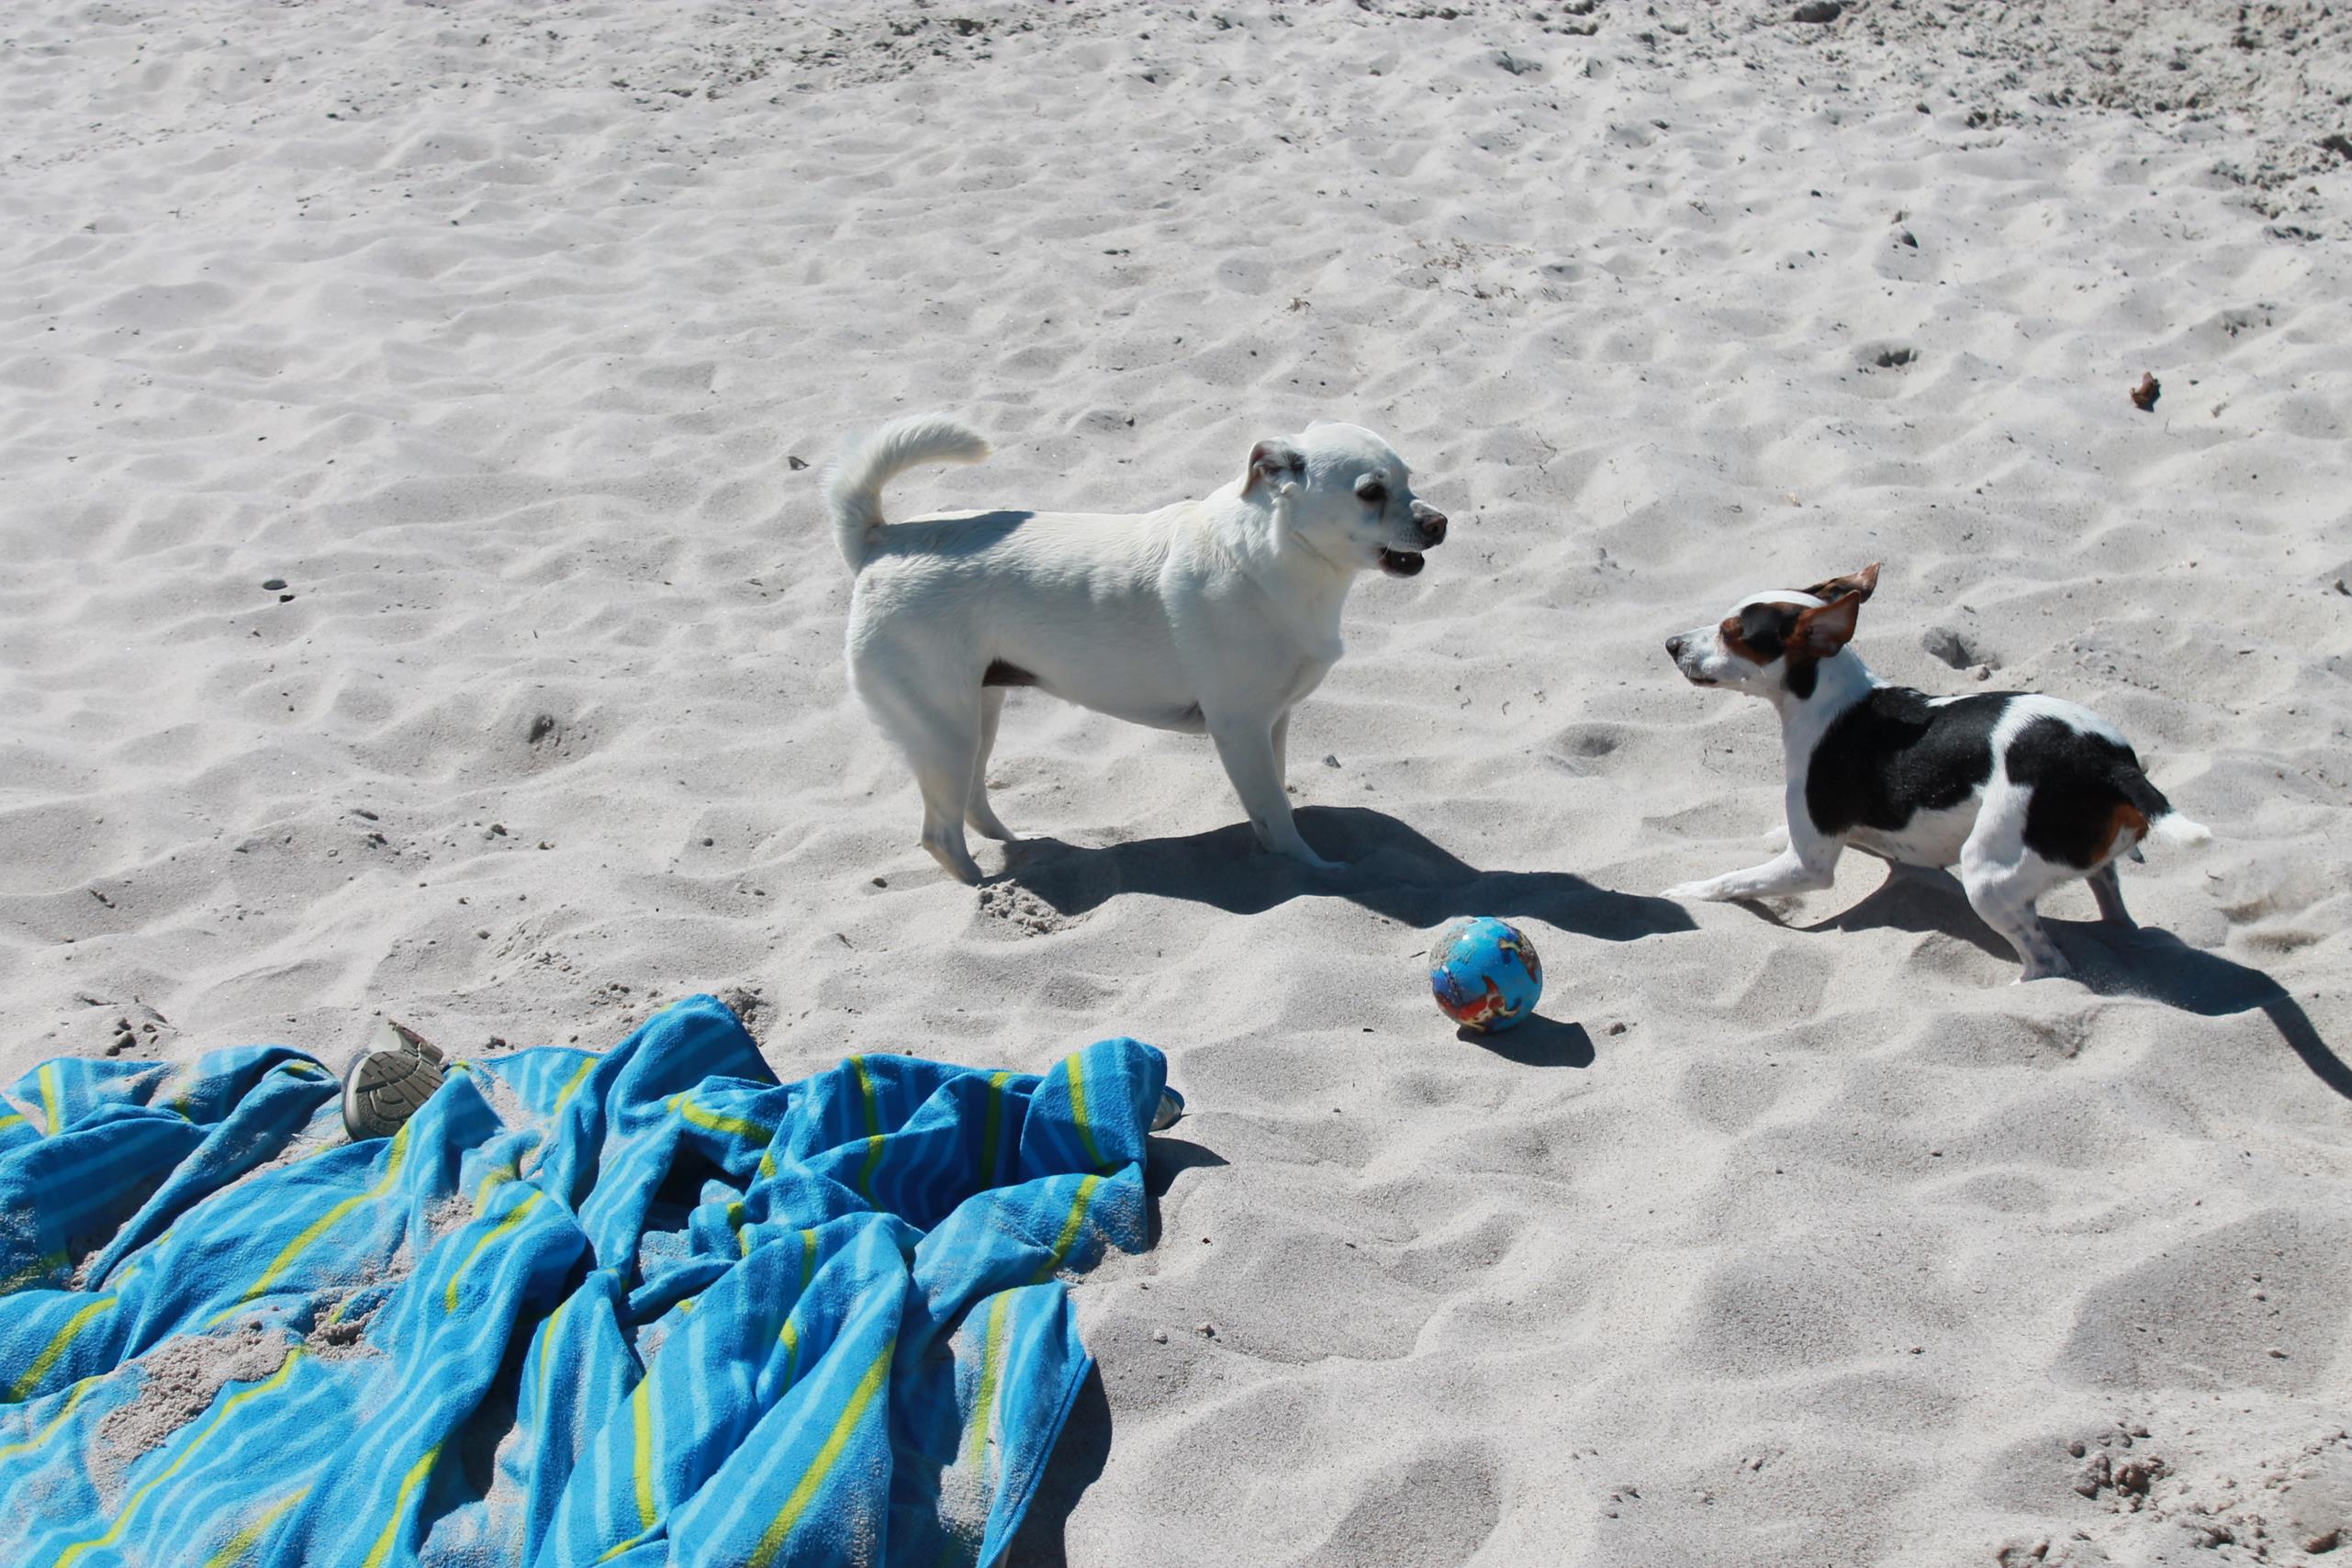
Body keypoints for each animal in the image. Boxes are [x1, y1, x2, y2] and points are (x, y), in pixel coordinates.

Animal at [827, 413, 1449, 883]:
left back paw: (1024, 847)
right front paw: (1315, 871)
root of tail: (881, 541)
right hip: (945, 732)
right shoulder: (1241, 727)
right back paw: (985, 887)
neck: (1284, 558)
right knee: (939, 832)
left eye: (1409, 481)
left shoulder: (1273, 723)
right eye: (1370, 493)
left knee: (973, 806)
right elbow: (1275, 807)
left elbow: (1273, 806)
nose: (1440, 522)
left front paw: (1278, 855)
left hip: (979, 715)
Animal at [1655, 564, 2201, 982]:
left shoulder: (1807, 866)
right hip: (2086, 866)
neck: (1829, 700)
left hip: (1988, 878)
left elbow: (1731, 881)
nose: (1671, 643)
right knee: (2116, 911)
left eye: (1733, 633)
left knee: (2049, 964)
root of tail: (2109, 763)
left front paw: (1686, 892)